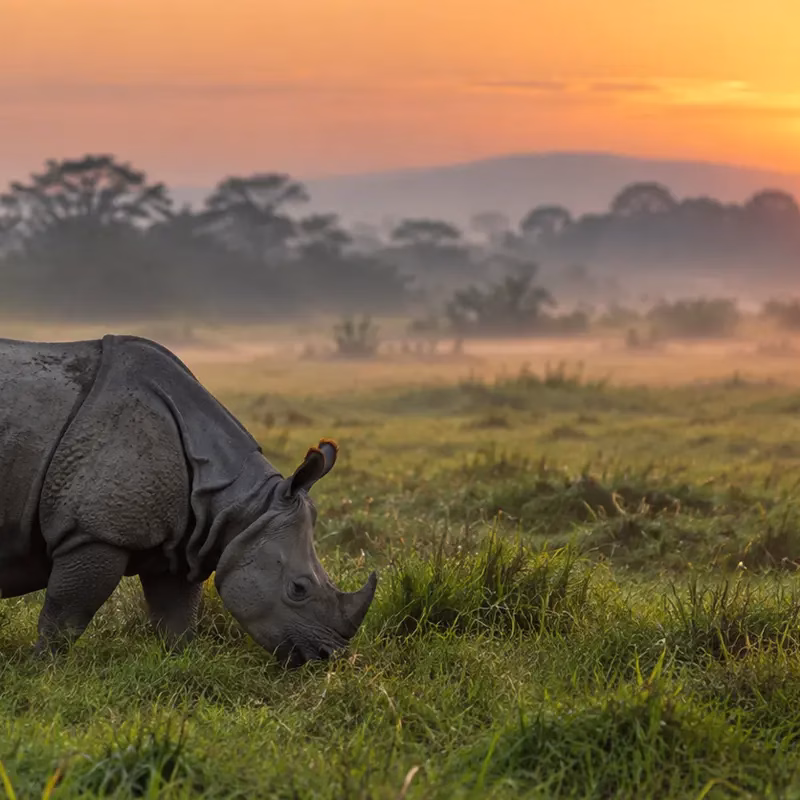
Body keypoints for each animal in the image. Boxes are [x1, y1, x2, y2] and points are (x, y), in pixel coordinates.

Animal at [0, 334, 377, 666]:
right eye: (298, 589)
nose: (327, 656)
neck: (243, 506)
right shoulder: (92, 532)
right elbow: (67, 614)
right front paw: (43, 669)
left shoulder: (183, 540)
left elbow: (177, 615)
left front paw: (179, 662)